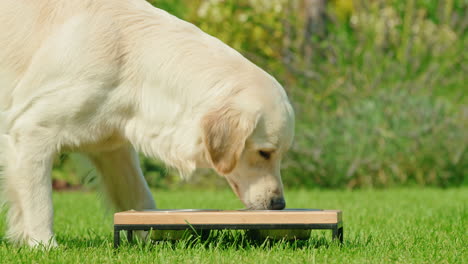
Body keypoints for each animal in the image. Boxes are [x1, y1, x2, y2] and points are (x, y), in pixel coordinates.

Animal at [0, 0, 294, 248]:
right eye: (264, 153)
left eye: (280, 155)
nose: (279, 204)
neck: (133, 62)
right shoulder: (32, 130)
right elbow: (40, 202)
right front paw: (43, 245)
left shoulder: (111, 147)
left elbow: (140, 197)